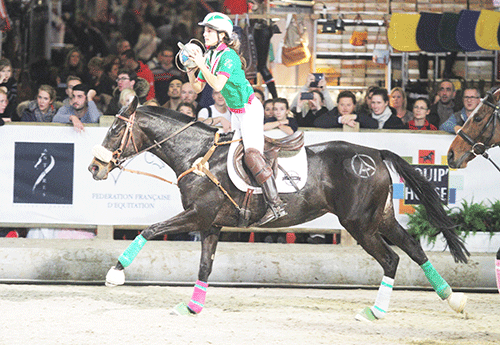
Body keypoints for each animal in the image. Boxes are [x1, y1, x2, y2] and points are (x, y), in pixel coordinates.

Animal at [89, 97, 468, 320]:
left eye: (116, 128)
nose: (94, 168)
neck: (197, 156)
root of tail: (375, 153)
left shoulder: (198, 216)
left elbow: (150, 229)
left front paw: (115, 273)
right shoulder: (211, 224)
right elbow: (205, 266)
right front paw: (193, 306)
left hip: (360, 225)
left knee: (391, 260)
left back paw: (375, 311)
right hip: (381, 218)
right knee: (414, 248)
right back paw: (452, 299)